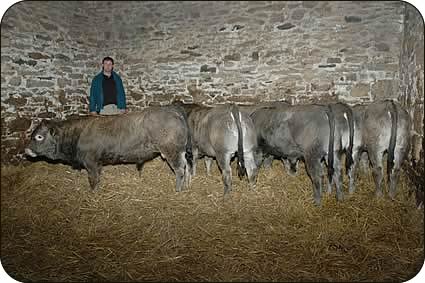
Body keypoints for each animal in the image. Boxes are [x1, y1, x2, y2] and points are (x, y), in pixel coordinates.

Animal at [24, 108, 193, 193]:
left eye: (39, 136)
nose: (27, 150)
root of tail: (175, 112)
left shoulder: (91, 162)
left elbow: (93, 180)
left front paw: (93, 194)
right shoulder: (97, 163)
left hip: (171, 151)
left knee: (179, 169)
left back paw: (177, 189)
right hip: (179, 151)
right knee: (186, 166)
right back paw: (185, 185)